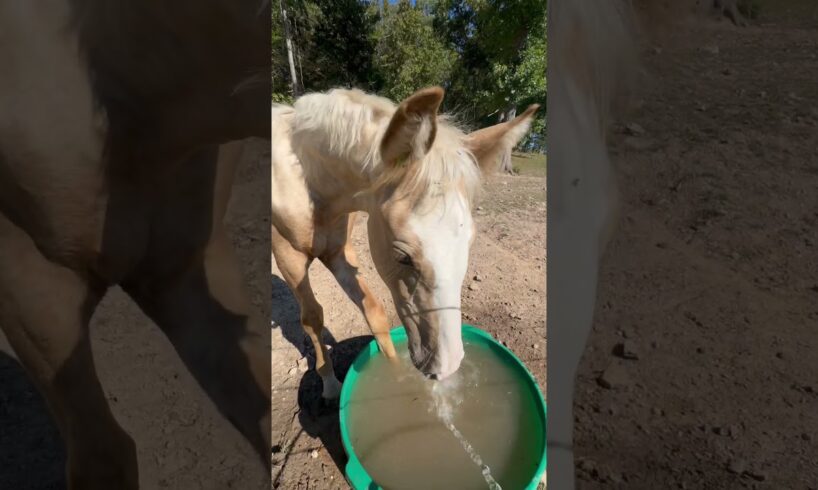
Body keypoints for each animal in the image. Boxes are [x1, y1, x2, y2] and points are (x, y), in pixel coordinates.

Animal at [270, 86, 540, 396]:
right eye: (402, 256)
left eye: (470, 242)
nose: (446, 368)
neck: (310, 183)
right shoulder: (289, 259)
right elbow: (312, 318)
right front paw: (331, 386)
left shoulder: (339, 251)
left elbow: (373, 310)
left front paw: (395, 376)